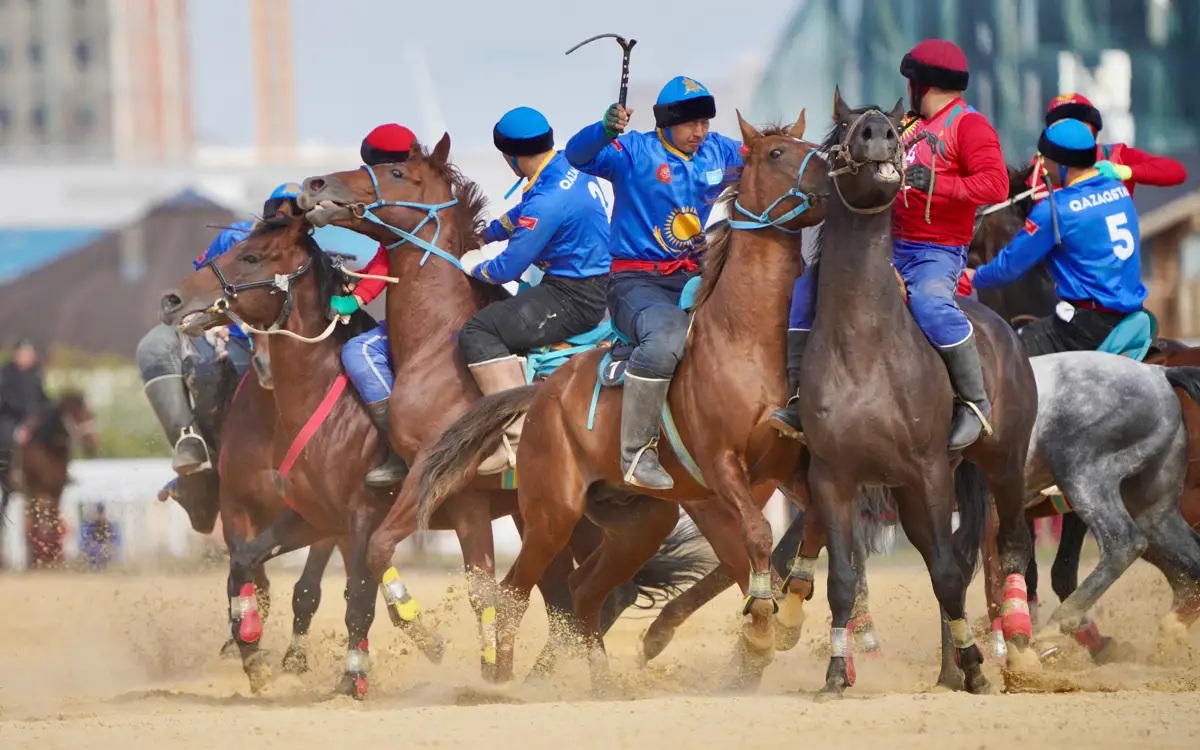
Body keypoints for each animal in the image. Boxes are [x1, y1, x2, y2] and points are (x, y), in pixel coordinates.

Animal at [1, 391, 98, 567]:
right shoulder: (34, 492)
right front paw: (38, 561)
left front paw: (54, 560)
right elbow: (35, 525)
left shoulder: (56, 492)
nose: (93, 443)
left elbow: (53, 523)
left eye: (91, 414)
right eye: (75, 415)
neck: (49, 452)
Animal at [161, 204, 705, 698]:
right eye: (228, 247)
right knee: (572, 597)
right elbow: (247, 559)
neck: (325, 403)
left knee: (598, 593)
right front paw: (251, 644)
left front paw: (362, 672)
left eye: (251, 256)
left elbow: (360, 596)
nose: (172, 298)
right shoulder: (314, 518)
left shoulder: (364, 518)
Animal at [296, 135, 710, 684]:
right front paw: (491, 669)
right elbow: (482, 590)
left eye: (398, 173)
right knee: (592, 590)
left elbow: (401, 558)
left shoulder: (453, 488)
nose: (315, 184)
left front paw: (440, 643)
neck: (438, 344)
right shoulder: (463, 499)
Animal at [404, 109, 835, 690]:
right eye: (776, 154)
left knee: (585, 590)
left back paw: (601, 681)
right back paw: (500, 685)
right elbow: (761, 534)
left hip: (639, 522)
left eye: (812, 147)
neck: (743, 340)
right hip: (552, 514)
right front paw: (763, 630)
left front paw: (784, 618)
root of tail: (541, 395)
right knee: (517, 592)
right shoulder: (723, 468)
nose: (838, 170)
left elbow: (814, 522)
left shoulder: (787, 464)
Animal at [798, 90, 1041, 698]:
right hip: (909, 494)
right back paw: (951, 665)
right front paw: (835, 674)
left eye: (892, 126)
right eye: (842, 128)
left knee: (1008, 549)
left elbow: (952, 575)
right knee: (942, 560)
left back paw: (1014, 653)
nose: (880, 135)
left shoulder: (930, 469)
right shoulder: (833, 479)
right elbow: (843, 580)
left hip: (1001, 464)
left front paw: (977, 669)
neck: (864, 344)